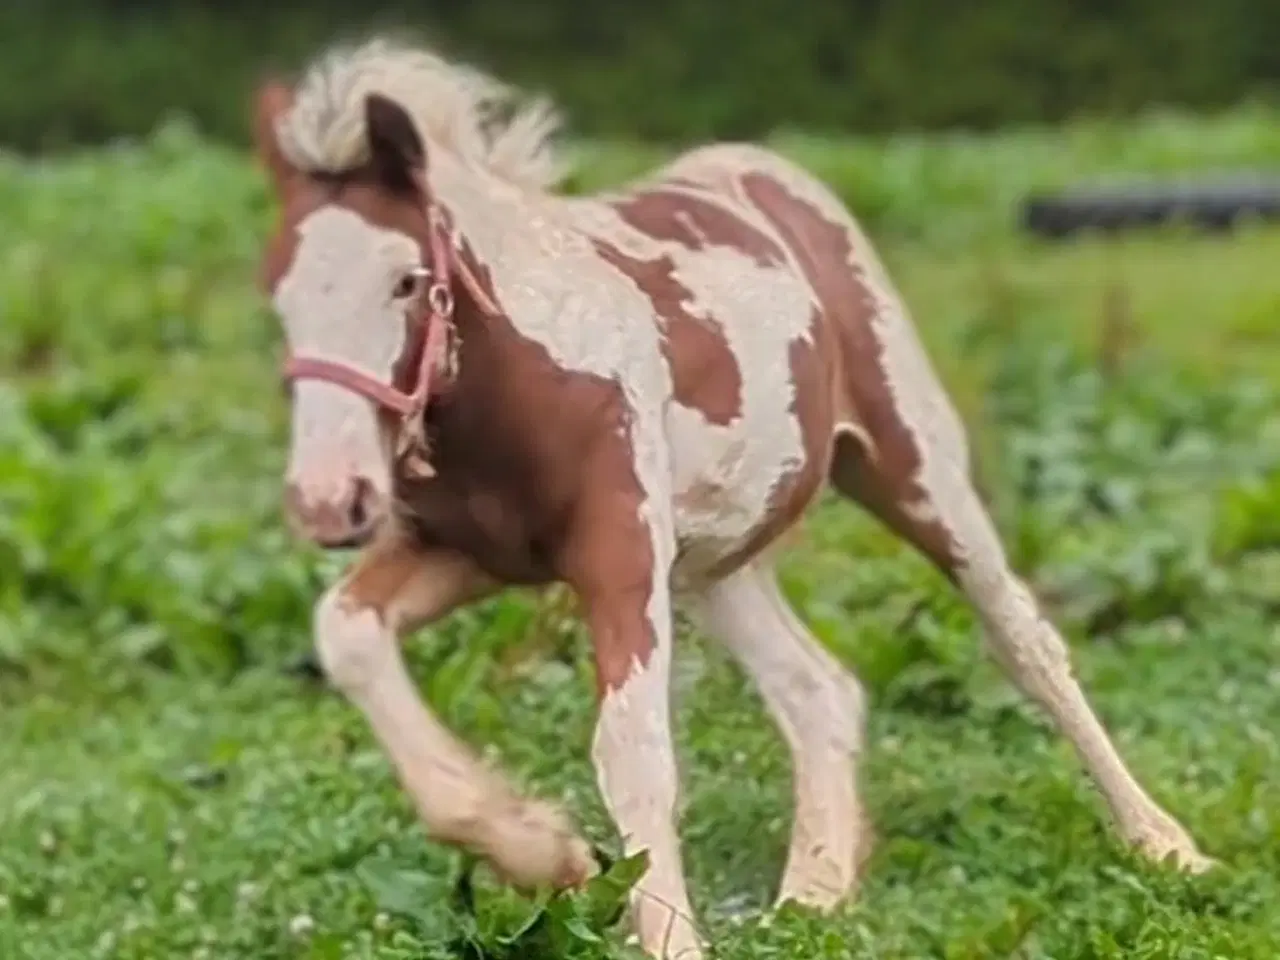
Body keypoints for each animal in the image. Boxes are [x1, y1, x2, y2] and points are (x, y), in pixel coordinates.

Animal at [252, 37, 1208, 960]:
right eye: (279, 296)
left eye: (406, 279)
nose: (329, 500)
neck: (525, 380)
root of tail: (764, 171)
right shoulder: (468, 555)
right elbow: (346, 634)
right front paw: (546, 853)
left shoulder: (619, 556)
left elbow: (631, 746)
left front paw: (653, 926)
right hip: (716, 564)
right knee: (819, 689)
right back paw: (814, 896)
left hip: (914, 470)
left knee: (1022, 639)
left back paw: (1166, 846)